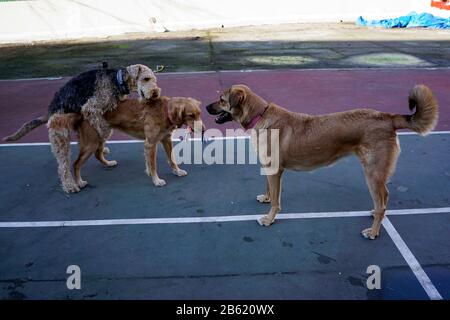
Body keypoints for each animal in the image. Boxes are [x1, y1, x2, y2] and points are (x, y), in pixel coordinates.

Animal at [51, 95, 204, 190]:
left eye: (199, 114)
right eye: (191, 115)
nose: (203, 129)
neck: (164, 111)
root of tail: (82, 111)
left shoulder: (166, 140)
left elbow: (171, 159)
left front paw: (176, 171)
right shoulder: (151, 144)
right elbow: (153, 165)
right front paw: (156, 180)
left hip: (102, 135)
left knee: (98, 154)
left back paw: (108, 163)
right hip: (91, 142)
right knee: (76, 164)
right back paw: (79, 182)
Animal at [207, 84, 440, 239]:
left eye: (222, 100)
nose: (207, 107)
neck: (260, 115)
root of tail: (387, 117)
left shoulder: (275, 171)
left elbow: (276, 202)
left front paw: (269, 218)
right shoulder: (269, 168)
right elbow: (269, 190)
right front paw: (266, 198)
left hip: (372, 174)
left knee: (382, 203)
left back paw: (373, 231)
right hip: (377, 175)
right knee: (384, 198)